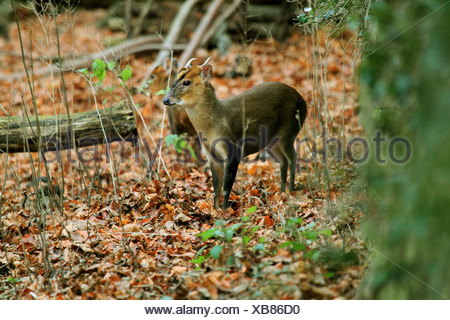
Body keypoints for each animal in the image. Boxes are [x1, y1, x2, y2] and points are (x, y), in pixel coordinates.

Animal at [163, 58, 308, 210]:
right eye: (174, 79)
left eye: (186, 82)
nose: (165, 100)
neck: (214, 124)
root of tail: (302, 100)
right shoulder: (211, 156)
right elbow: (216, 188)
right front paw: (215, 210)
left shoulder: (233, 150)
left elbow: (226, 187)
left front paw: (225, 210)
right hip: (272, 142)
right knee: (283, 161)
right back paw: (282, 192)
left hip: (288, 132)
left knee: (293, 157)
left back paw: (291, 191)